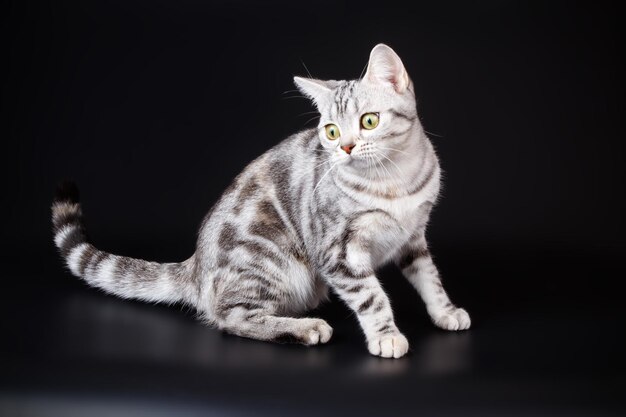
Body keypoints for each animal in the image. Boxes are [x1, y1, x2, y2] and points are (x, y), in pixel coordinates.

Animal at [51, 44, 468, 358]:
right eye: (332, 131)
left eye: (369, 121)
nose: (345, 147)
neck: (394, 181)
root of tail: (196, 266)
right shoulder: (338, 252)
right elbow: (370, 297)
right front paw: (386, 335)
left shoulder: (414, 237)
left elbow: (429, 277)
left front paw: (446, 312)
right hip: (272, 262)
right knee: (229, 318)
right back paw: (305, 328)